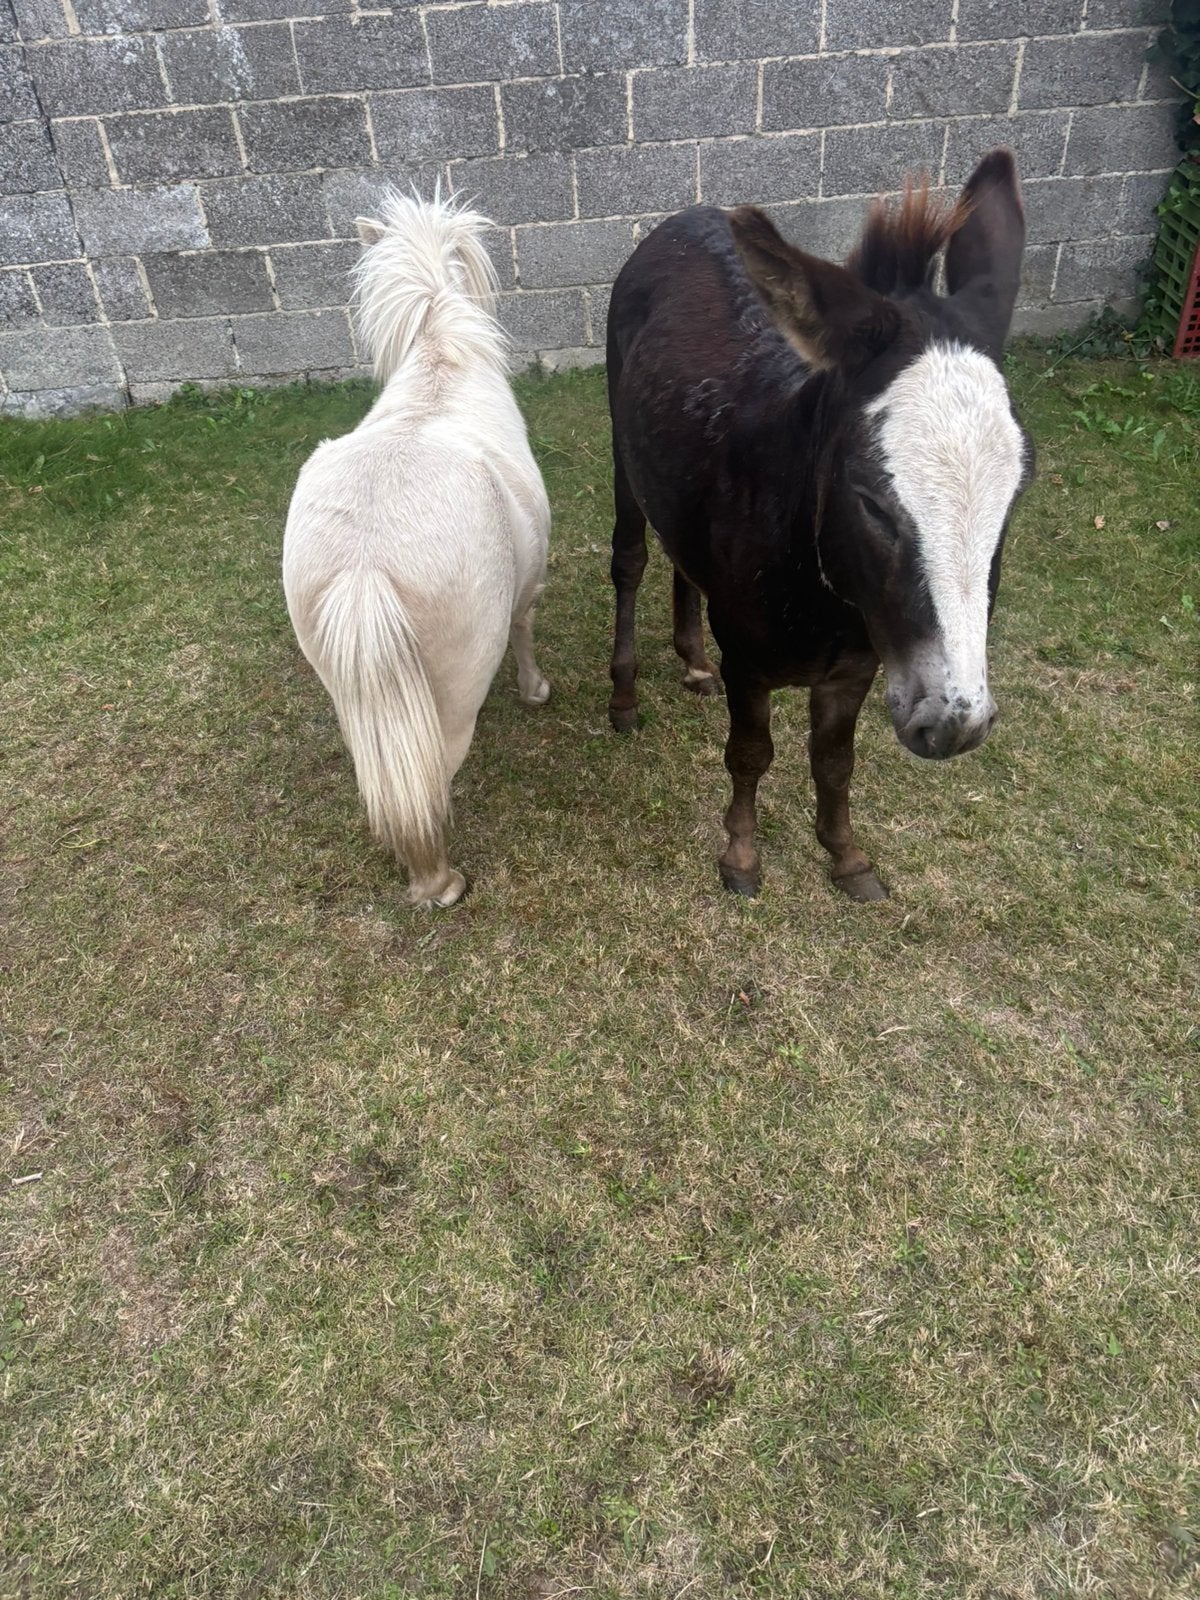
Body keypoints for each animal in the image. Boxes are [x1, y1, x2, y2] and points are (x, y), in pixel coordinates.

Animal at [283, 191, 551, 909]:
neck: (441, 355)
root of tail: (365, 563)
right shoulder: (527, 587)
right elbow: (524, 625)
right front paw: (535, 690)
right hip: (450, 703)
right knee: (430, 780)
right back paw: (439, 883)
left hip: (348, 686)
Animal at [604, 148, 1032, 901]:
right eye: (871, 502)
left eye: (1016, 492)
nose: (956, 727)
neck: (825, 589)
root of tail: (689, 215)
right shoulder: (749, 661)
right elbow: (750, 754)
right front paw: (742, 857)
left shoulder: (858, 669)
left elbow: (834, 762)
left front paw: (846, 856)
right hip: (624, 456)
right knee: (630, 563)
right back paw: (624, 696)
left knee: (683, 560)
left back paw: (692, 661)